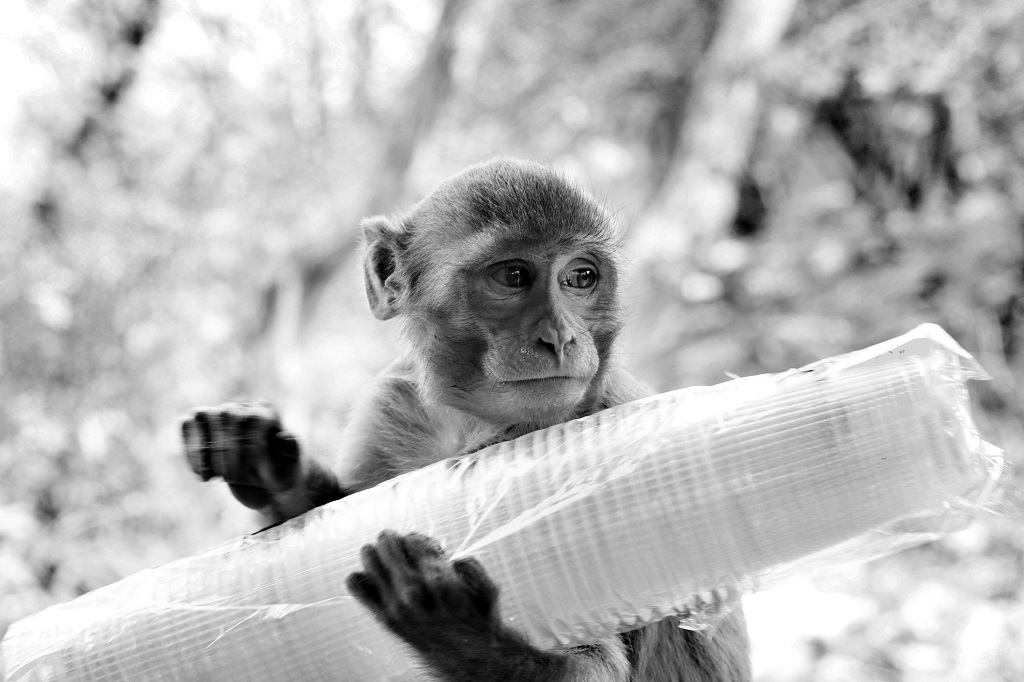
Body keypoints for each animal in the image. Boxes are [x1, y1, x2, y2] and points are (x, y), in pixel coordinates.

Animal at [180, 157, 749, 679]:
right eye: (513, 275)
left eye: (581, 277)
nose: (561, 337)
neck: (472, 421)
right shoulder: (390, 401)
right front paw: (267, 466)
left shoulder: (601, 418)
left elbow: (596, 668)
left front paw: (455, 628)